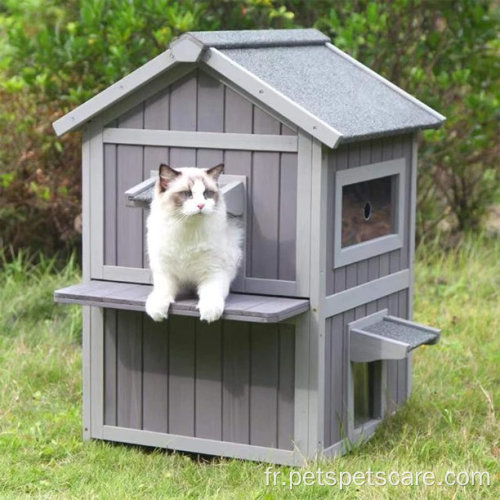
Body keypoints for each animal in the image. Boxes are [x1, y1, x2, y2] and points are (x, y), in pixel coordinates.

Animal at [144, 162, 243, 322]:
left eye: (206, 194)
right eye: (187, 194)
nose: (201, 205)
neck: (188, 231)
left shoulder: (213, 271)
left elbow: (210, 294)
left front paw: (209, 314)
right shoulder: (165, 271)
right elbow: (162, 292)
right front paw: (157, 313)